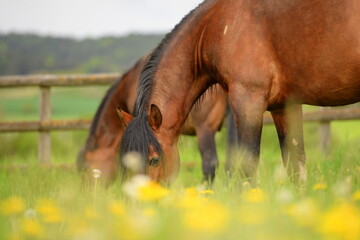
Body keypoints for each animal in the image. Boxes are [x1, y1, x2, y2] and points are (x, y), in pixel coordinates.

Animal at [119, 0, 360, 185]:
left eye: (154, 160)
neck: (218, 27)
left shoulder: (248, 102)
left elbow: (248, 163)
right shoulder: (285, 106)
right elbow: (295, 164)